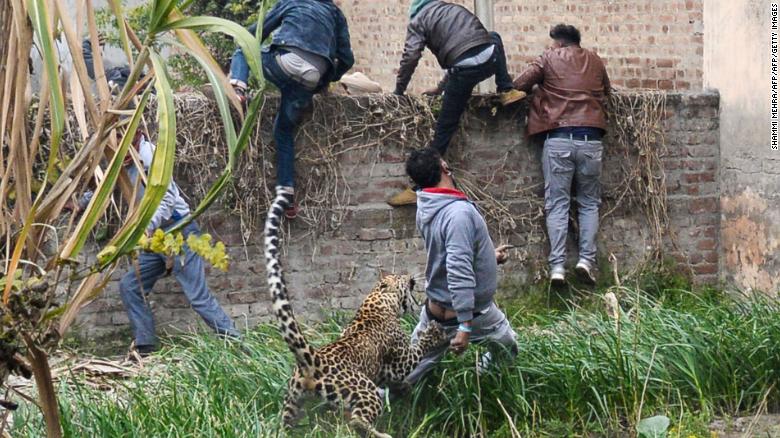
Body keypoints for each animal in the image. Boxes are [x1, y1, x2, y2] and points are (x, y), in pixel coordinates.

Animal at [262, 188, 444, 438]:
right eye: (400, 276)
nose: (410, 276)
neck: (377, 301)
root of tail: (313, 360)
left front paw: (404, 388)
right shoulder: (400, 359)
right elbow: (417, 350)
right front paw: (433, 333)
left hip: (293, 400)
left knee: (284, 424)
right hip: (365, 389)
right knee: (358, 420)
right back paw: (380, 434)